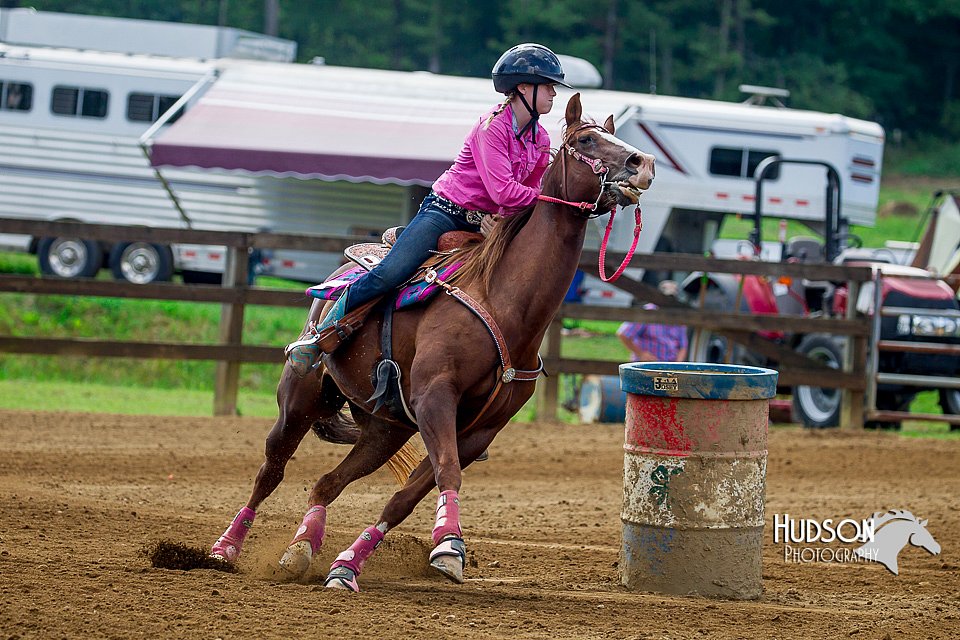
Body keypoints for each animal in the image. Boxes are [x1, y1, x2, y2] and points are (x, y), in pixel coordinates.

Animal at [208, 94, 652, 592]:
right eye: (587, 140)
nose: (644, 163)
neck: (504, 302)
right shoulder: (436, 397)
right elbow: (447, 470)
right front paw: (449, 546)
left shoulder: (479, 429)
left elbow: (407, 496)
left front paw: (350, 566)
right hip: (300, 400)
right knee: (271, 470)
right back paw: (225, 548)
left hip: (384, 428)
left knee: (327, 482)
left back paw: (301, 549)